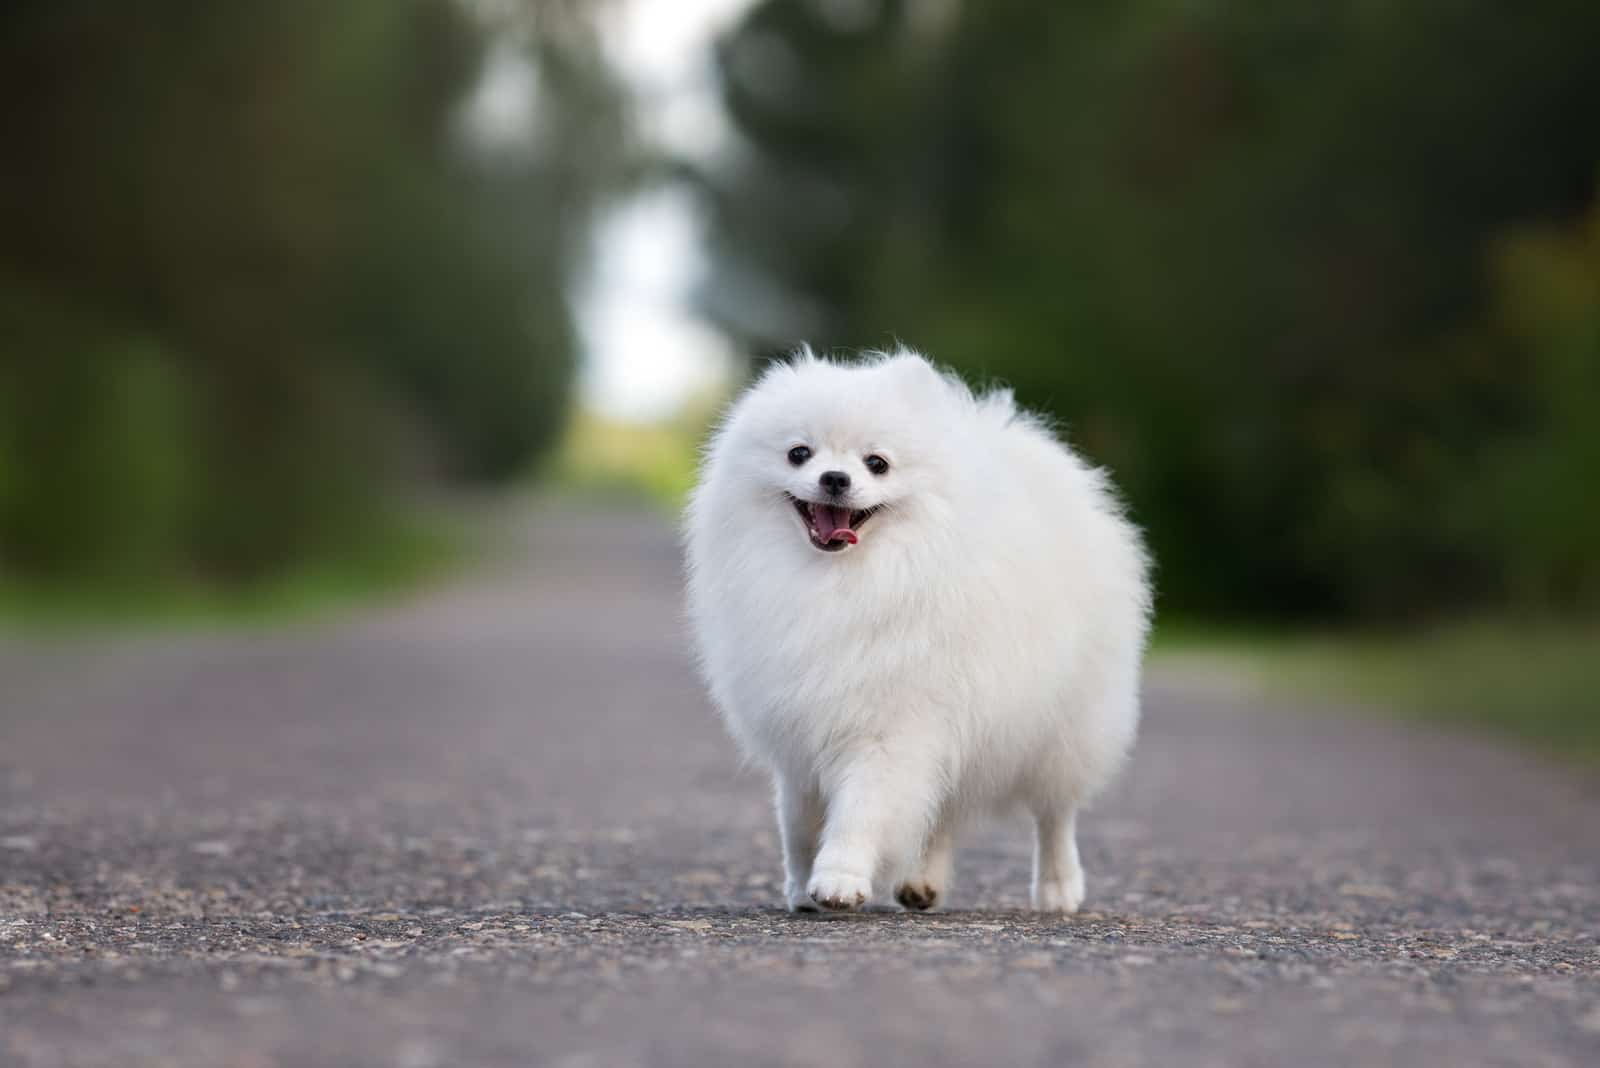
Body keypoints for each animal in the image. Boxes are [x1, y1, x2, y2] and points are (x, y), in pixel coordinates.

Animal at [688, 346, 1152, 914]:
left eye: (877, 463)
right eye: (799, 453)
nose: (835, 478)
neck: (837, 583)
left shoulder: (889, 727)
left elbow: (860, 809)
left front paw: (838, 879)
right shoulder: (799, 726)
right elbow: (797, 823)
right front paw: (800, 885)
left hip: (1067, 726)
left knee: (1055, 814)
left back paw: (1058, 888)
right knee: (945, 807)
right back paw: (922, 881)